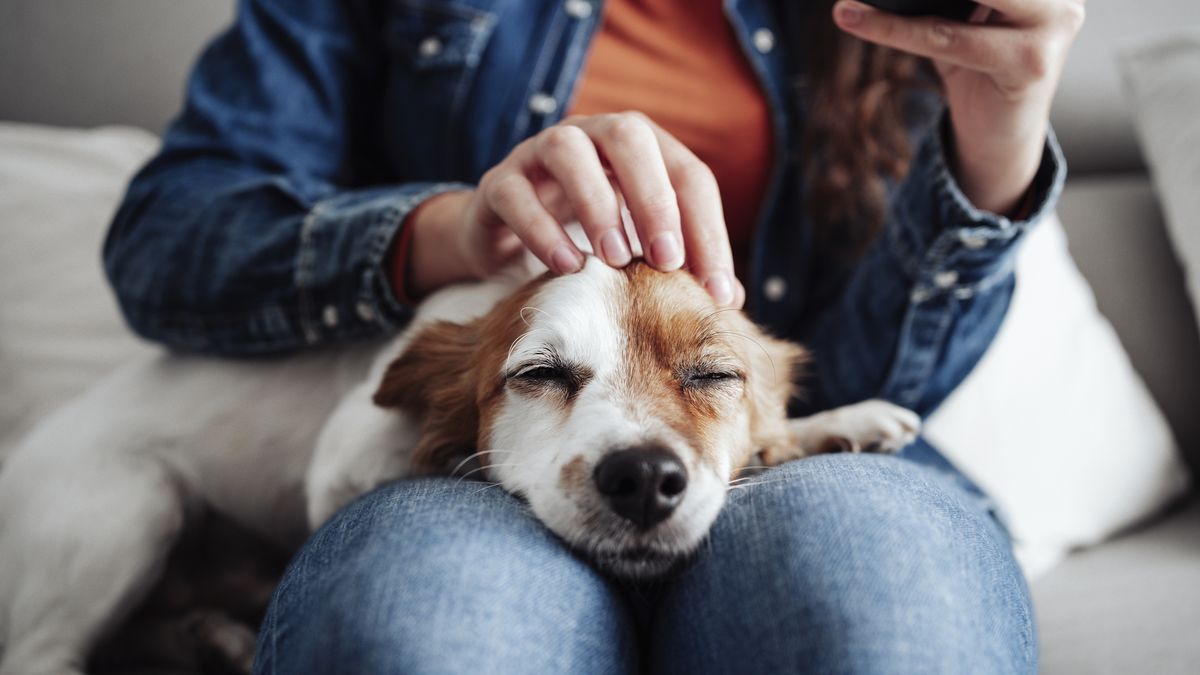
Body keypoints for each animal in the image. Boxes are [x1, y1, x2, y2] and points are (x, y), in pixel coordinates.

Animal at [0, 251, 916, 672]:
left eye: (714, 376)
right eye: (540, 374)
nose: (645, 478)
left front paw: (838, 421)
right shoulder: (339, 462)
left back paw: (213, 634)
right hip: (129, 505)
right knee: (41, 653)